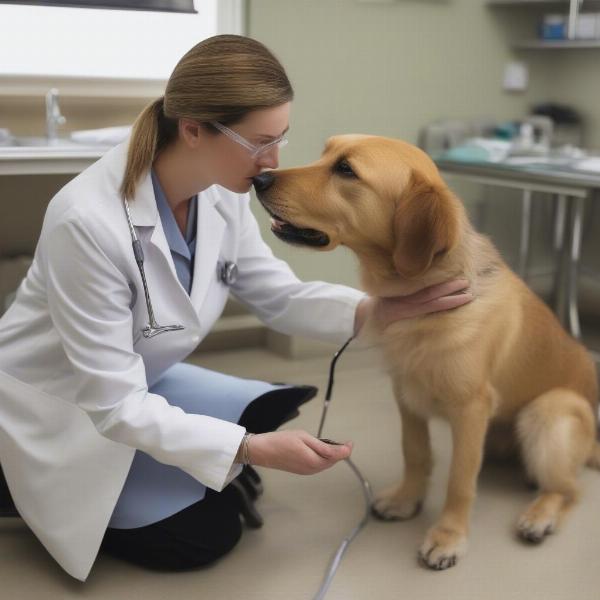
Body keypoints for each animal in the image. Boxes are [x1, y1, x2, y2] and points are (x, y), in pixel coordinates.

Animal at [253, 136, 600, 572]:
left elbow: (459, 480)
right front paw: (407, 500)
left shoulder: (471, 409)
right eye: (326, 153)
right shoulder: (406, 394)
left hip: (548, 411)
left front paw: (449, 536)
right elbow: (415, 454)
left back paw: (540, 515)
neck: (421, 297)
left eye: (346, 170)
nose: (259, 178)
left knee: (569, 489)